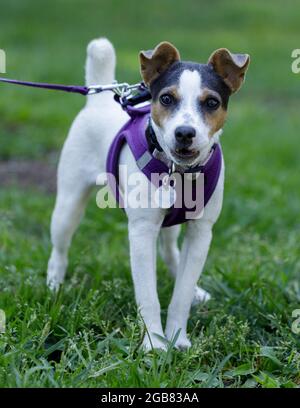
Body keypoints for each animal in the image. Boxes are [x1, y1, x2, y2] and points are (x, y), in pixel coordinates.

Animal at [46, 38, 248, 350]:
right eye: (166, 99)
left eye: (212, 102)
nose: (184, 133)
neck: (179, 172)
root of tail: (98, 100)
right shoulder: (141, 232)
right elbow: (148, 297)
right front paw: (155, 344)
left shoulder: (201, 232)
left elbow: (181, 295)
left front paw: (178, 337)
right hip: (68, 205)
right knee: (60, 248)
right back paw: (55, 286)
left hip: (170, 225)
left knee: (170, 251)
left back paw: (195, 290)